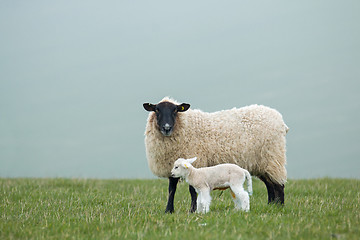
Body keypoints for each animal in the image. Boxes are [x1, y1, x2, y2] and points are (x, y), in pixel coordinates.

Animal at [143, 96, 290, 213]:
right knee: (270, 184)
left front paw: (193, 210)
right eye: (157, 110)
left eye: (175, 110)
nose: (166, 128)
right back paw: (271, 205)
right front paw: (169, 210)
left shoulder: (196, 162)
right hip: (262, 163)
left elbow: (192, 190)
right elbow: (171, 189)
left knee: (279, 184)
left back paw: (280, 207)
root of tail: (281, 121)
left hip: (273, 157)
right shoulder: (171, 165)